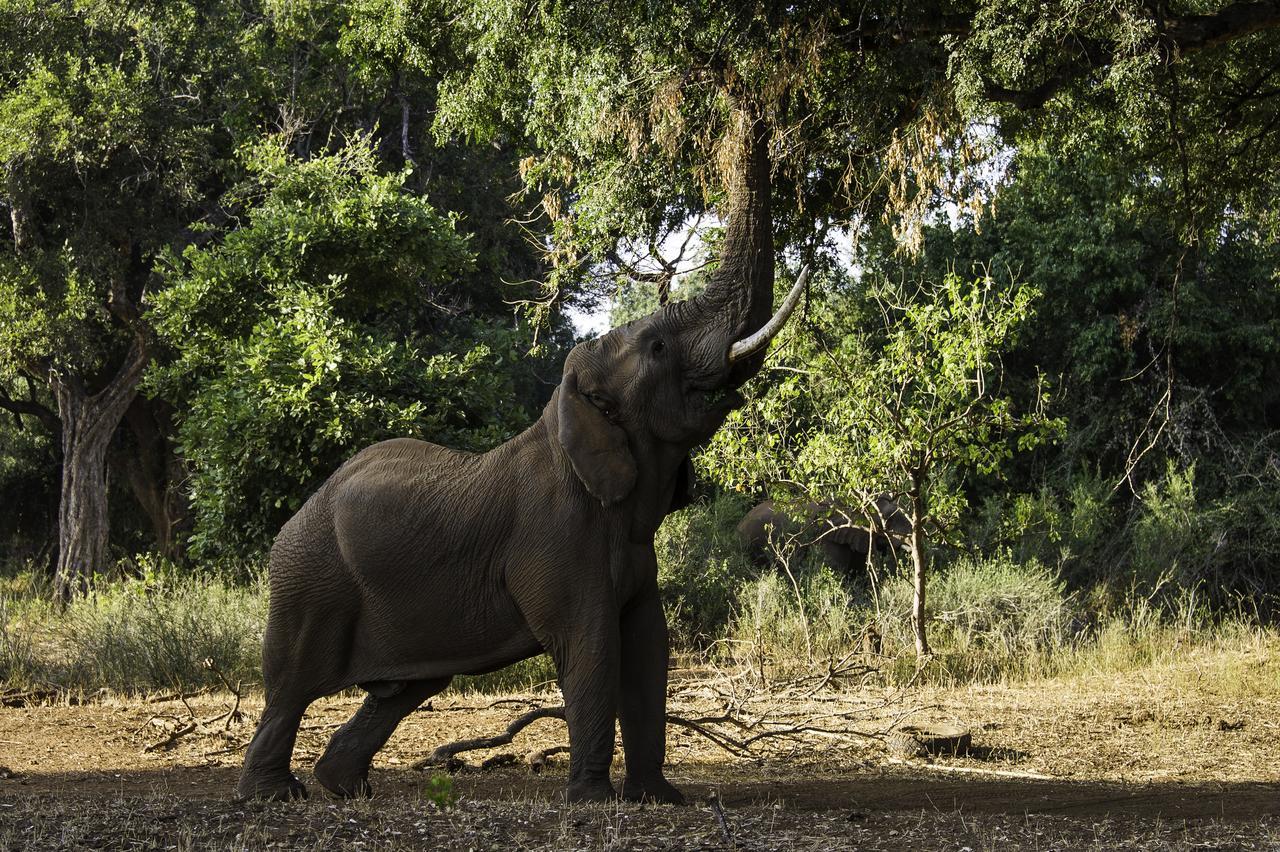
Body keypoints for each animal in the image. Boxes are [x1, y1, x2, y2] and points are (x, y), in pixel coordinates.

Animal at [235, 117, 803, 803]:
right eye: (658, 347)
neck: (568, 414)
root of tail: (297, 514)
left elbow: (649, 648)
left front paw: (659, 799)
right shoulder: (557, 534)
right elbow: (592, 648)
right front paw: (593, 802)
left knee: (406, 688)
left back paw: (346, 787)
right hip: (309, 578)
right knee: (290, 685)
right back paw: (276, 794)